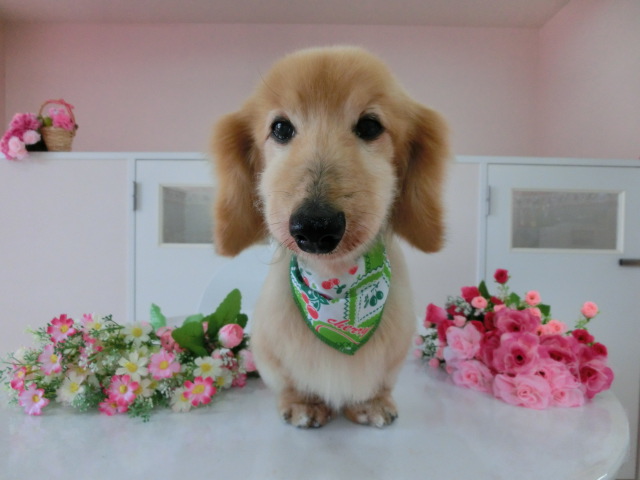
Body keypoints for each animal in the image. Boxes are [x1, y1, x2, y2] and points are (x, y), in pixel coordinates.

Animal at [211, 46, 449, 428]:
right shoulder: (273, 350)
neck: (335, 280)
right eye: (280, 128)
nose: (315, 226)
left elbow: (377, 383)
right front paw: (304, 404)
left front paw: (371, 403)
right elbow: (293, 381)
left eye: (370, 126)